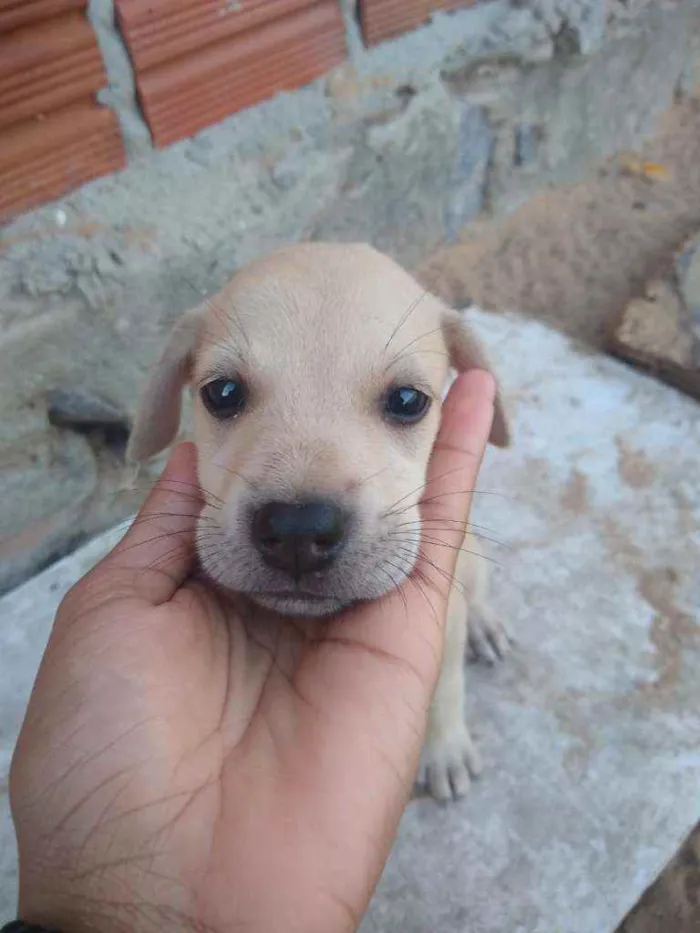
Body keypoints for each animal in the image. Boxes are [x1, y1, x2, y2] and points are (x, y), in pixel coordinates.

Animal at [127, 242, 508, 800]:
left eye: (407, 400)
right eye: (222, 393)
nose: (297, 533)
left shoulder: (448, 614)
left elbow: (446, 684)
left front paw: (445, 748)